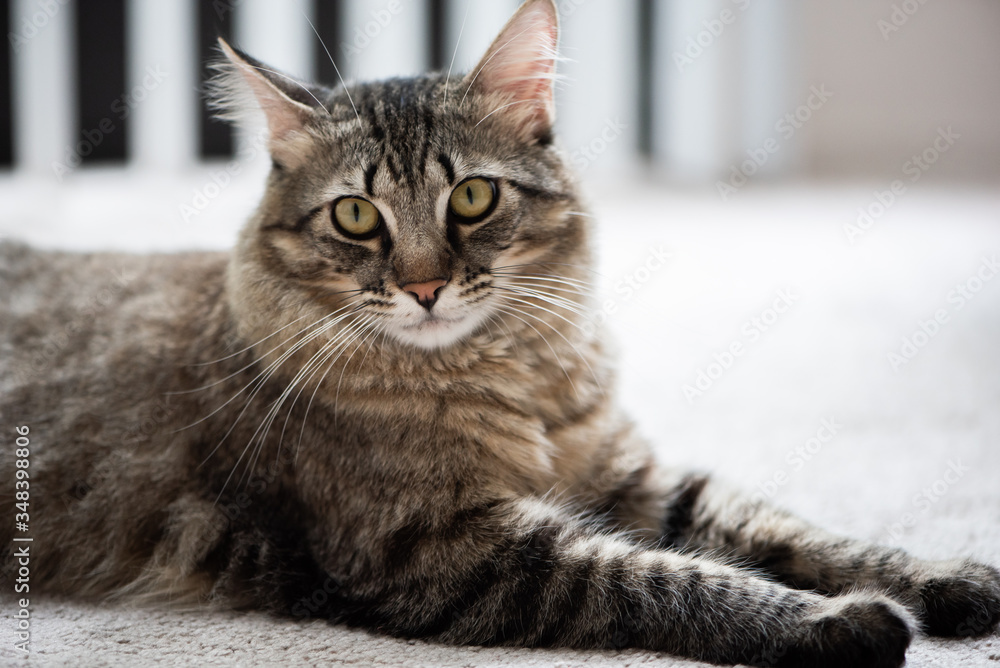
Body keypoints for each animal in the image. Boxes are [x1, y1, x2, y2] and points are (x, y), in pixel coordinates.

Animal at [0, 1, 996, 668]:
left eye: (472, 198)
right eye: (356, 216)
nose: (424, 287)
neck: (514, 382)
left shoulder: (629, 480)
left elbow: (800, 533)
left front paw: (950, 581)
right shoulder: (448, 550)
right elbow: (671, 580)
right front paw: (842, 623)